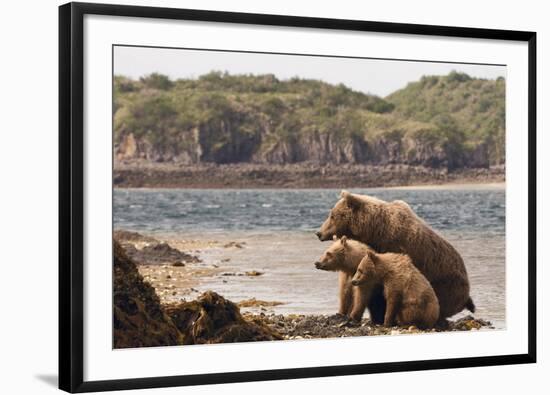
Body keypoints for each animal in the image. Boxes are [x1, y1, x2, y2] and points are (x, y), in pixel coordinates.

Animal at [316, 190, 476, 324]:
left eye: (332, 215)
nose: (318, 233)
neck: (373, 231)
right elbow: (347, 285)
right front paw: (341, 313)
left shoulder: (392, 247)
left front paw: (378, 316)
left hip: (445, 284)